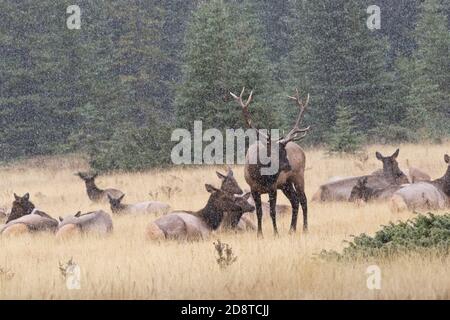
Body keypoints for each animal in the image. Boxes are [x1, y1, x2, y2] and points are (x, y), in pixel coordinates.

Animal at [230, 86, 312, 236]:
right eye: (272, 153)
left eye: (284, 152)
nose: (288, 166)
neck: (261, 175)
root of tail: (300, 149)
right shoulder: (254, 188)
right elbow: (259, 213)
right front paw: (259, 234)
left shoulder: (272, 187)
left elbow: (272, 212)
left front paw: (276, 233)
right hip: (285, 184)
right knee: (295, 201)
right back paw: (291, 229)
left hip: (298, 176)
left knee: (303, 200)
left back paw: (304, 228)